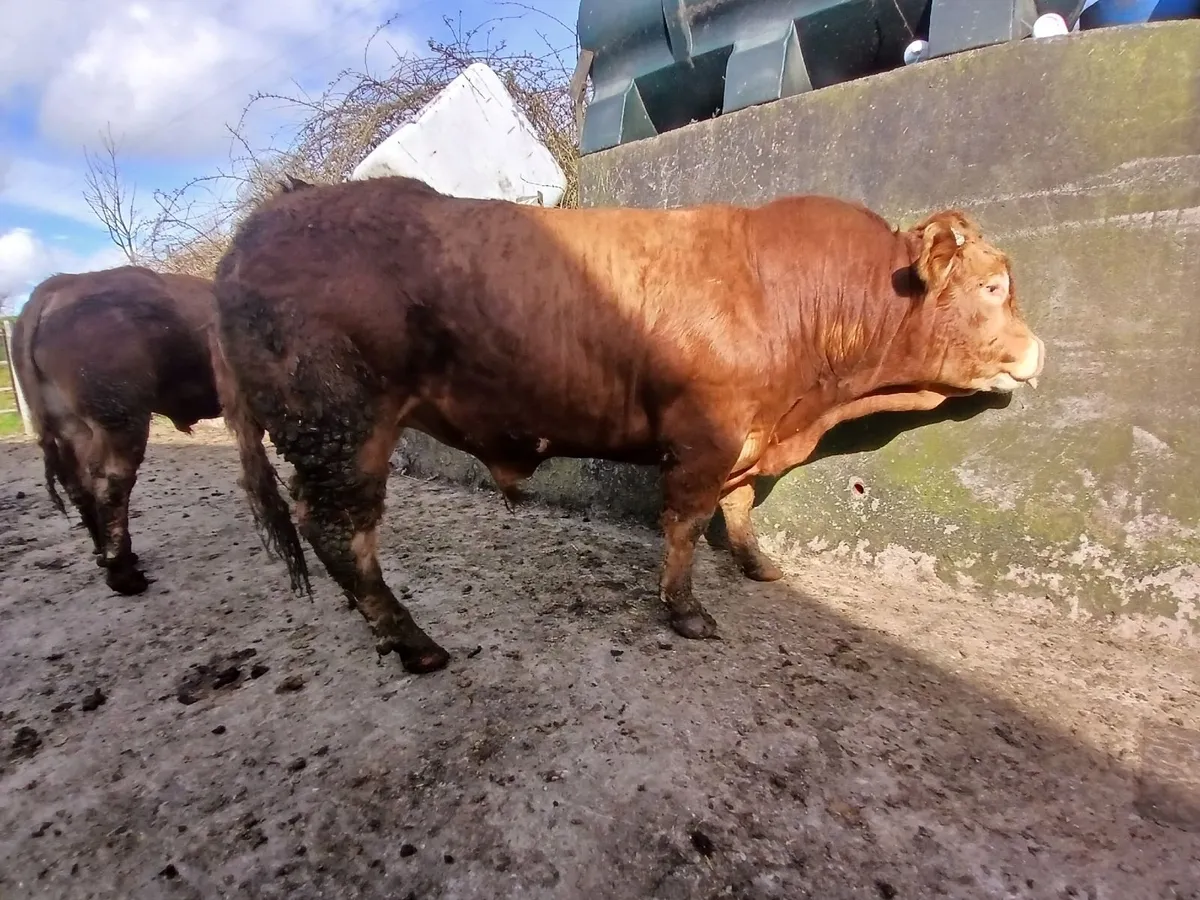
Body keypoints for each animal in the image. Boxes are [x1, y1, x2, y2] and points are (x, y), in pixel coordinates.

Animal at [11, 266, 221, 594]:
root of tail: (58, 286)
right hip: (121, 423)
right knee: (111, 484)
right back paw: (124, 575)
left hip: (72, 427)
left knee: (80, 486)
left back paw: (108, 556)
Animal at [210, 176, 1045, 674]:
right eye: (993, 287)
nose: (1038, 350)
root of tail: (267, 218)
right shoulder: (705, 436)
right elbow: (685, 522)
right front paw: (686, 613)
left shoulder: (746, 436)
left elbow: (738, 506)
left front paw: (757, 565)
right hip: (342, 428)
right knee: (340, 535)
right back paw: (414, 644)